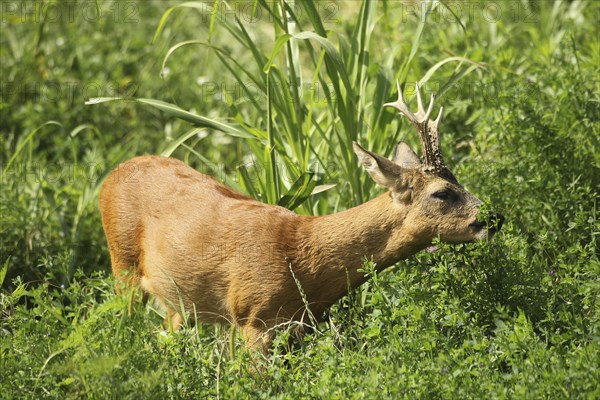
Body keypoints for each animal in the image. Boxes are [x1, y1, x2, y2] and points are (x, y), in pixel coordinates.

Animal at [101, 83, 504, 352]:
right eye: (442, 192)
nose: (494, 217)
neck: (304, 259)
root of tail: (113, 173)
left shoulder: (301, 325)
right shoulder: (254, 318)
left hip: (174, 300)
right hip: (122, 263)